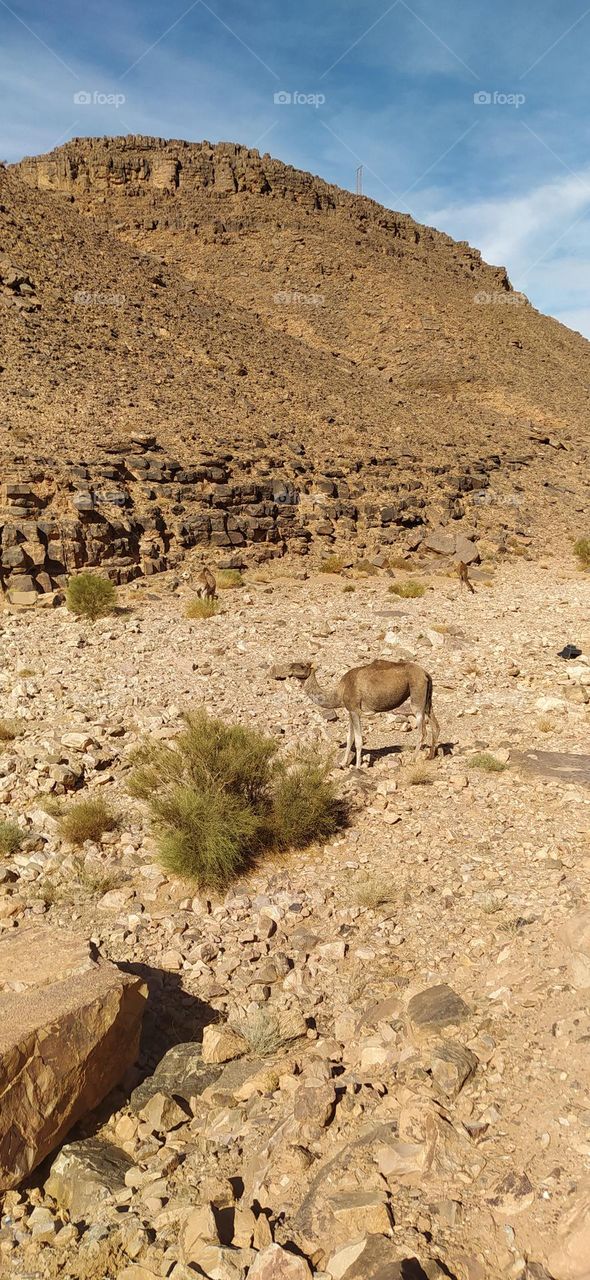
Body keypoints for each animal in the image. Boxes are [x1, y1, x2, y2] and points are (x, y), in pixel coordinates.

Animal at [295, 659, 439, 767]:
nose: (290, 669)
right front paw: (343, 763)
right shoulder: (350, 711)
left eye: (303, 666)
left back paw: (412, 760)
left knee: (422, 731)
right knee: (435, 725)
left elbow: (358, 740)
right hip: (427, 699)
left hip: (417, 695)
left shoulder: (355, 711)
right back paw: (430, 756)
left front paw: (357, 766)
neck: (339, 692)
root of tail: (425, 674)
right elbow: (350, 738)